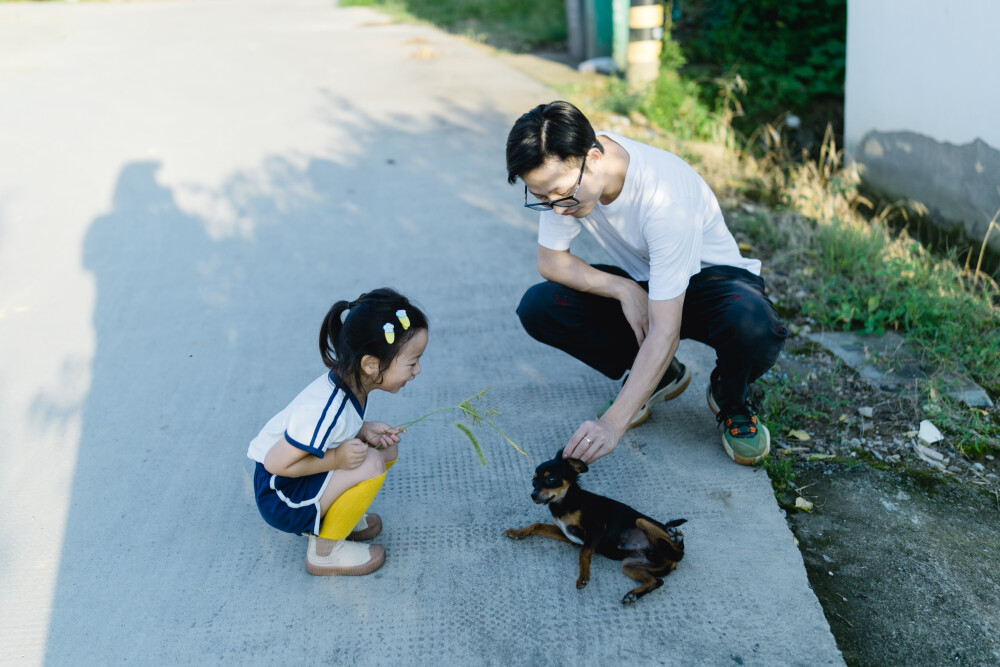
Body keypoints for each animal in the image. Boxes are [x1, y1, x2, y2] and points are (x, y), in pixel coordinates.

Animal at [504, 452, 684, 604]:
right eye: (533, 482)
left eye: (551, 479)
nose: (533, 495)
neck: (564, 503)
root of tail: (674, 559)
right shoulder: (566, 533)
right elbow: (537, 525)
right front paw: (517, 532)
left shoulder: (596, 528)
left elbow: (584, 552)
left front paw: (583, 576)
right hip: (630, 565)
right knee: (657, 580)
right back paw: (633, 595)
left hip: (642, 523)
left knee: (676, 544)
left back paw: (676, 534)